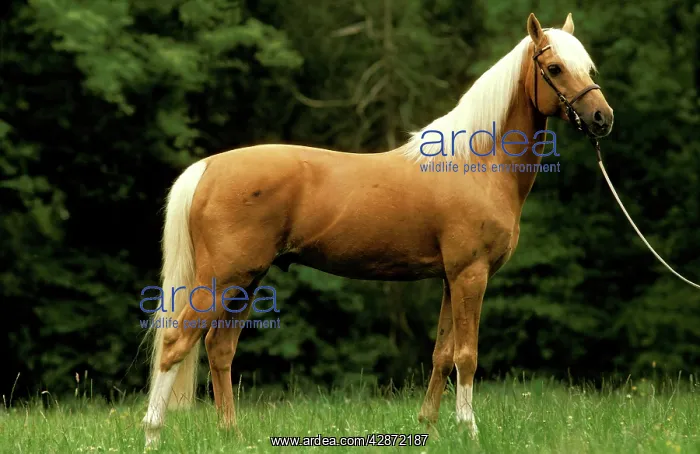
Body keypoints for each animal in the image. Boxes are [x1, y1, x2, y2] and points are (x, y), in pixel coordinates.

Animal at [141, 12, 613, 447]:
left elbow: (442, 353)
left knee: (219, 349)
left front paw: (428, 427)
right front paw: (470, 431)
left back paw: (232, 435)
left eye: (589, 68)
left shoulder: (450, 278)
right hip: (222, 279)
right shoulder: (470, 275)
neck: (476, 163)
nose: (601, 118)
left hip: (248, 281)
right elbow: (467, 355)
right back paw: (152, 435)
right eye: (554, 68)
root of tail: (207, 168)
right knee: (175, 343)